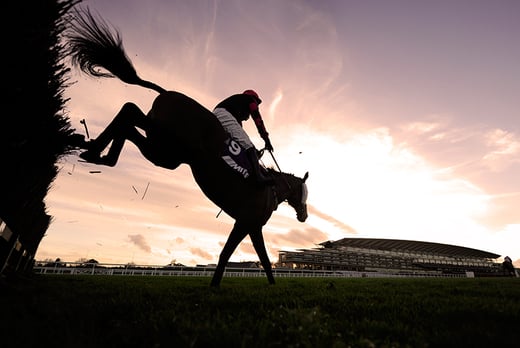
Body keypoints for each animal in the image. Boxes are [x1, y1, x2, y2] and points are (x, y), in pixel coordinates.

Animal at [65, 7, 308, 288]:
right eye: (305, 193)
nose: (304, 216)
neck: (272, 187)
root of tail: (167, 92)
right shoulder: (248, 222)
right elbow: (235, 254)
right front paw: (219, 285)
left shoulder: (248, 224)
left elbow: (257, 258)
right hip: (168, 149)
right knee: (130, 115)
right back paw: (97, 151)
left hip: (163, 145)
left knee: (130, 112)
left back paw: (95, 152)